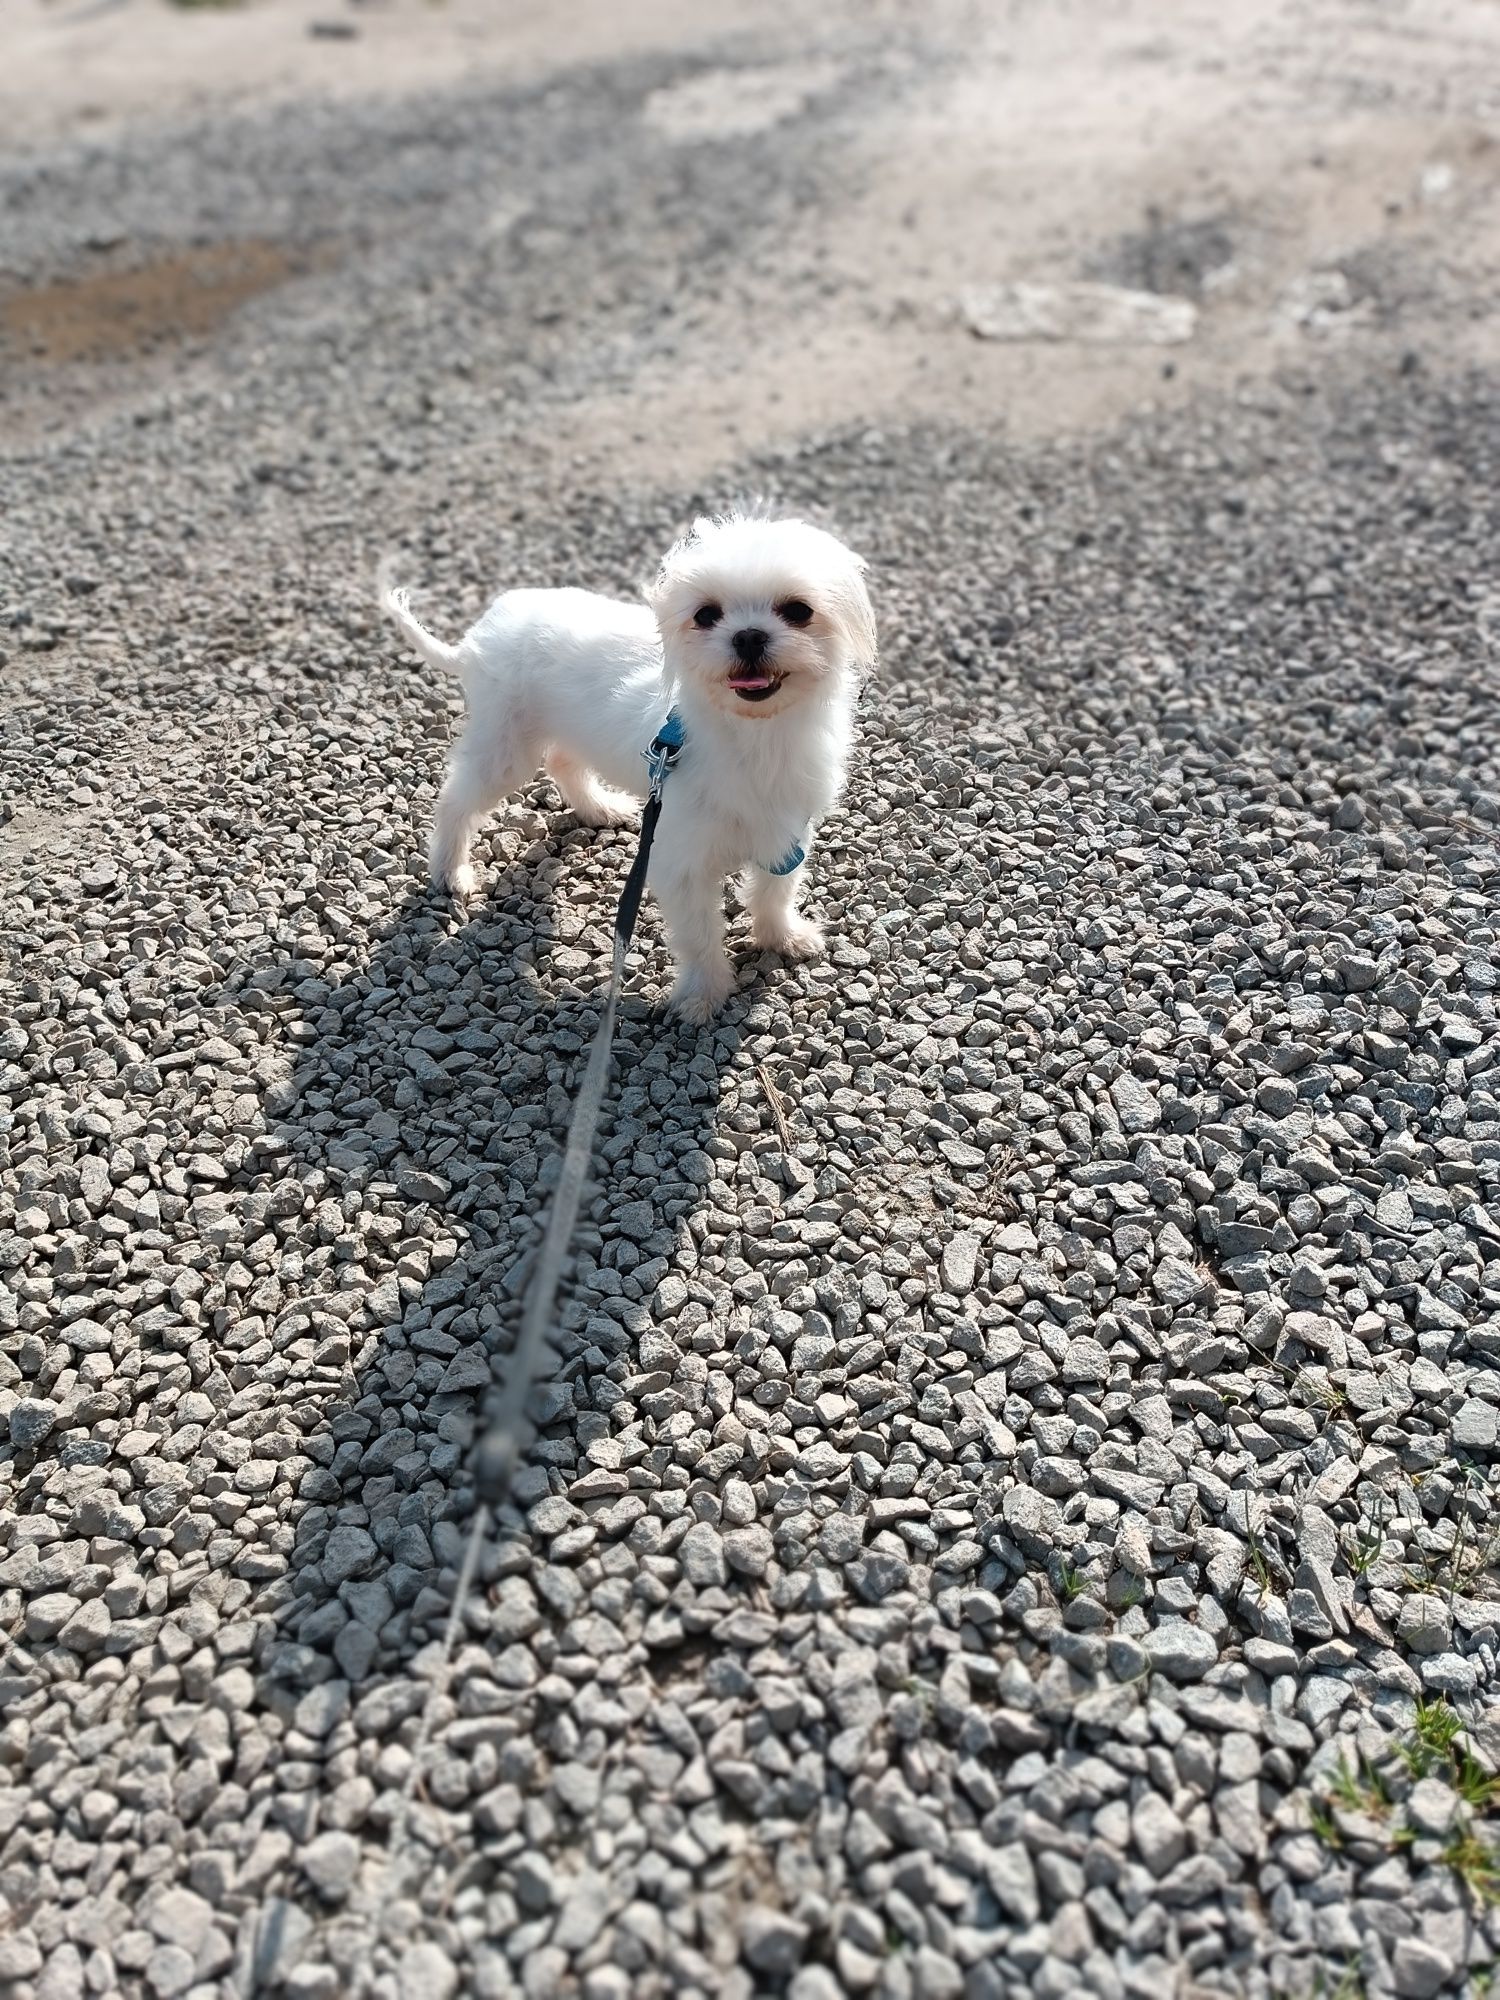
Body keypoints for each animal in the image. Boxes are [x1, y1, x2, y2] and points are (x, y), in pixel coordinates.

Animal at [382, 516, 880, 1024]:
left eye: (798, 610)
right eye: (706, 615)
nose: (748, 636)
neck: (756, 735)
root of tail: (477, 636)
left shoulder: (787, 834)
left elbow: (774, 893)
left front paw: (783, 938)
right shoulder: (679, 862)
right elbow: (700, 935)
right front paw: (703, 996)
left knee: (561, 760)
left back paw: (599, 809)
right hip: (506, 747)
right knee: (457, 798)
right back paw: (450, 872)